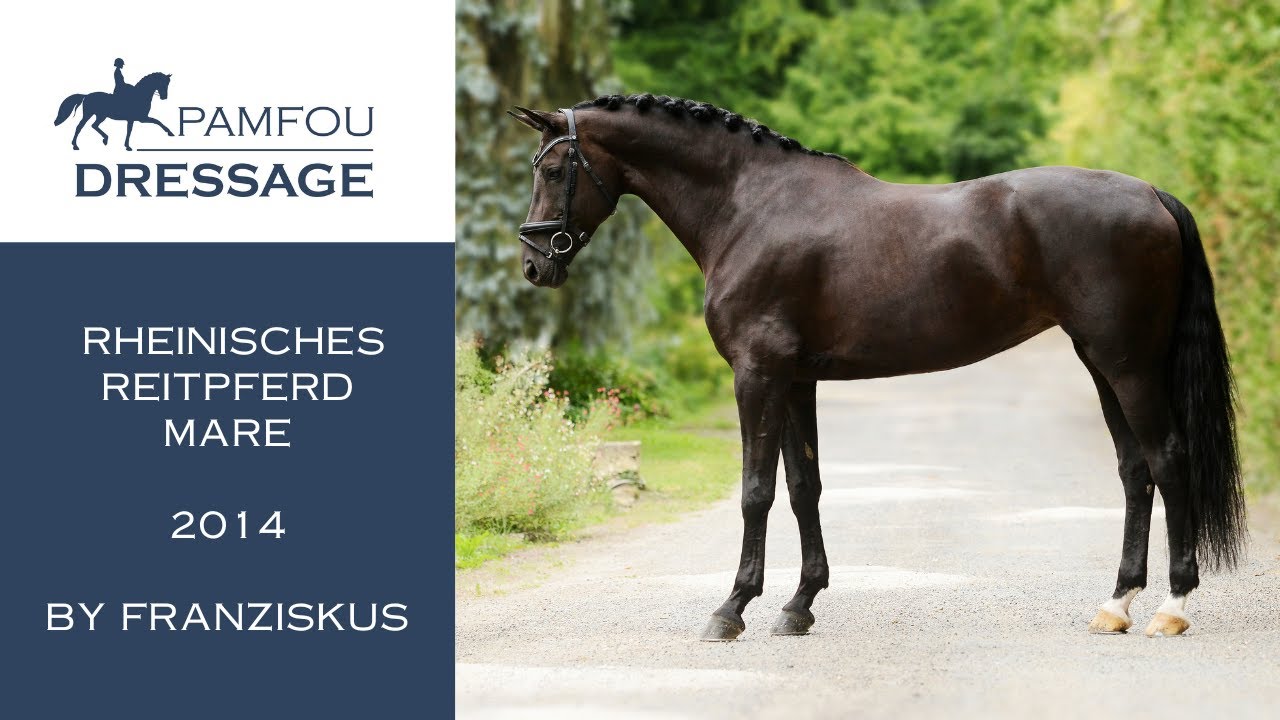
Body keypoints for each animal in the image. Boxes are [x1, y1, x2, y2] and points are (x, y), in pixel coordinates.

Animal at [507, 94, 1245, 641]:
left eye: (553, 169)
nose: (535, 265)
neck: (750, 208)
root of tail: (1152, 194)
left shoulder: (757, 374)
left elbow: (756, 491)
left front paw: (732, 608)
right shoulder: (795, 379)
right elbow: (803, 487)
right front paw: (799, 605)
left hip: (1129, 364)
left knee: (1168, 460)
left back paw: (1172, 608)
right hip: (1101, 363)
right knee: (1135, 471)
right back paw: (1116, 605)